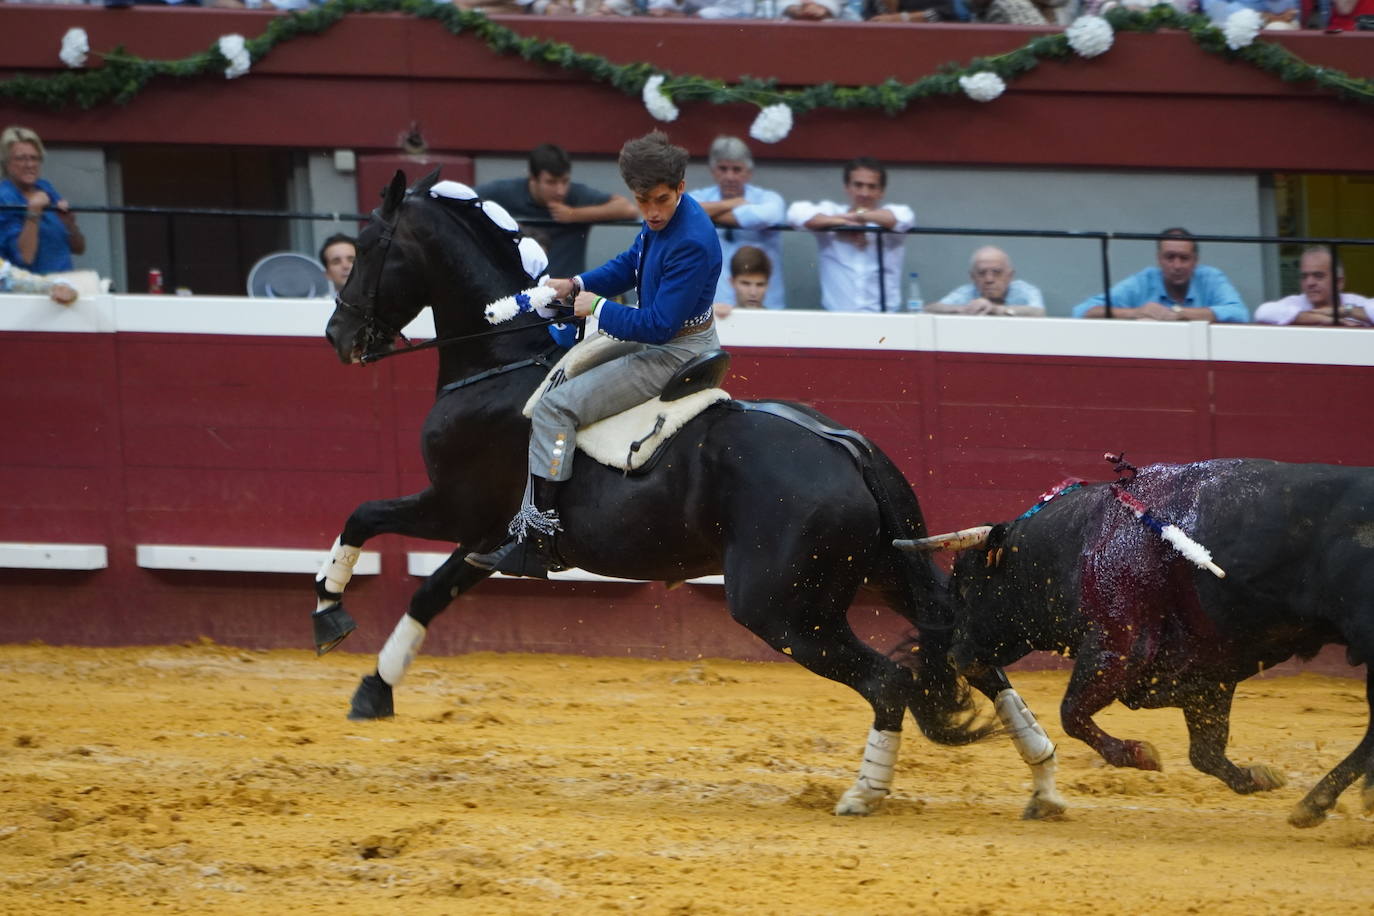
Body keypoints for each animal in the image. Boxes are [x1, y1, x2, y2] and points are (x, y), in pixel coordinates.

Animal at [316, 170, 1066, 818]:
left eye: (369, 247)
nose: (338, 334)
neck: (502, 363)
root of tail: (846, 448)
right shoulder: (489, 535)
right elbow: (428, 593)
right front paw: (374, 689)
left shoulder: (454, 505)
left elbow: (361, 516)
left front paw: (330, 617)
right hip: (890, 572)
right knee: (973, 655)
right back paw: (1044, 787)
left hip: (782, 611)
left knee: (889, 681)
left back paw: (863, 794)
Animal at [912, 461, 1374, 829]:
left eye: (968, 589)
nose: (956, 655)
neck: (1078, 543)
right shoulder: (1208, 672)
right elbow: (1205, 752)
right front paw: (1257, 777)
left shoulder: (1118, 647)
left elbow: (1071, 713)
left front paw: (1140, 754)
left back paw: (1317, 801)